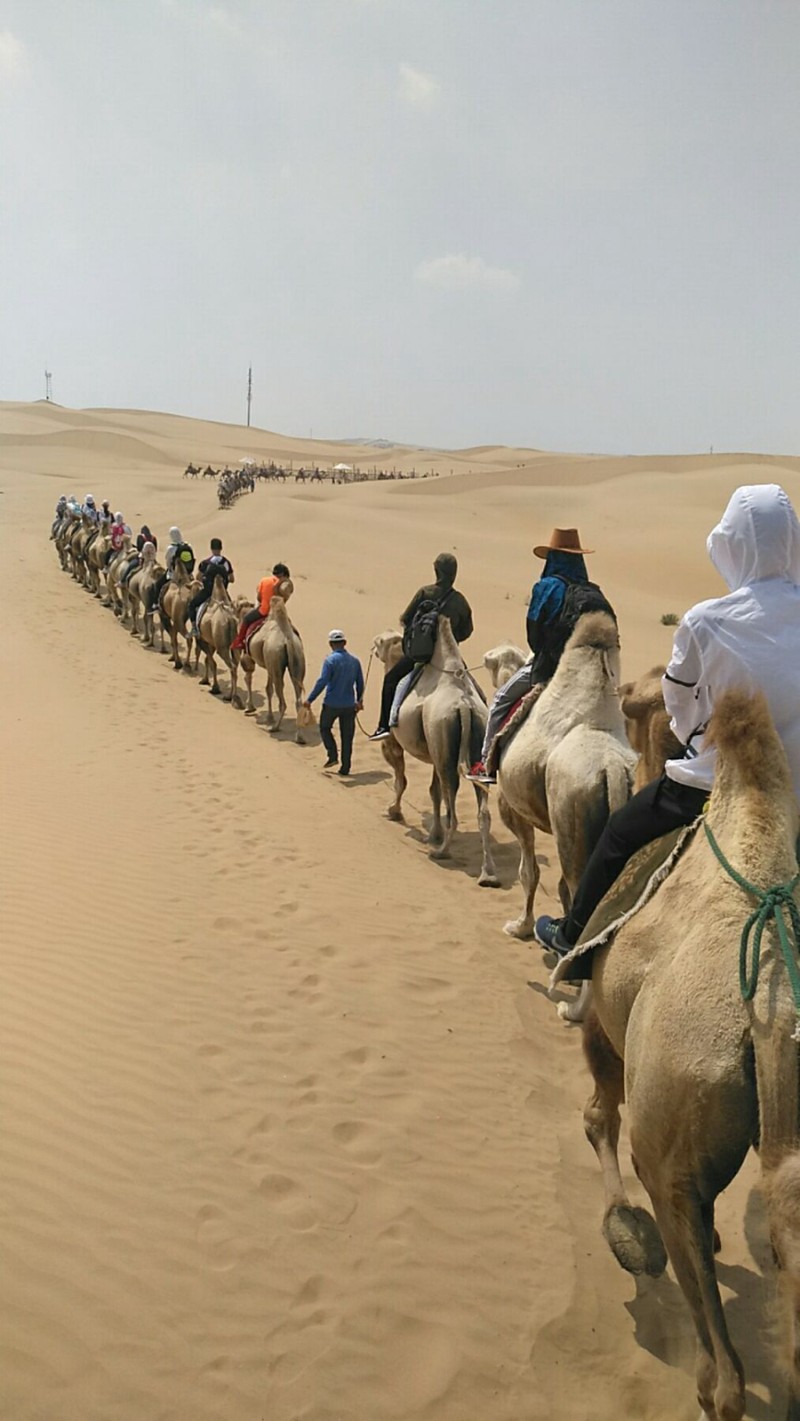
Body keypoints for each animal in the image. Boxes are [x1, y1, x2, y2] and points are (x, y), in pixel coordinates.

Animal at [196, 576, 242, 704]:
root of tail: (230, 621)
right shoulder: (211, 642)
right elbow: (208, 660)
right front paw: (205, 680)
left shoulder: (203, 640)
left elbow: (212, 663)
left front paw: (215, 687)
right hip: (235, 646)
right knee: (235, 665)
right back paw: (231, 696)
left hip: (222, 647)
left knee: (232, 667)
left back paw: (233, 698)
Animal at [241, 591, 306, 738]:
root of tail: (288, 640)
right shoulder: (269, 662)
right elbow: (268, 689)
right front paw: (269, 717)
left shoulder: (248, 656)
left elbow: (248, 678)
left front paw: (249, 707)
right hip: (295, 660)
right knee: (298, 698)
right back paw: (299, 736)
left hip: (275, 658)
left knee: (282, 700)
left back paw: (275, 727)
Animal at [377, 613, 500, 881]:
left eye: (380, 642)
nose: (374, 648)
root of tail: (464, 706)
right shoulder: (436, 749)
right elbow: (433, 791)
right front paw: (433, 833)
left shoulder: (395, 741)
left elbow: (401, 779)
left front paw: (394, 811)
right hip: (472, 742)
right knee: (481, 808)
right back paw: (488, 873)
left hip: (443, 741)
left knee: (451, 801)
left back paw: (441, 852)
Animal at [579, 687, 800, 1421]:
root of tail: (772, 1016)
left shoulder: (603, 1013)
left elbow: (597, 1116)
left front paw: (624, 1232)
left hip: (672, 1123)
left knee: (724, 1373)